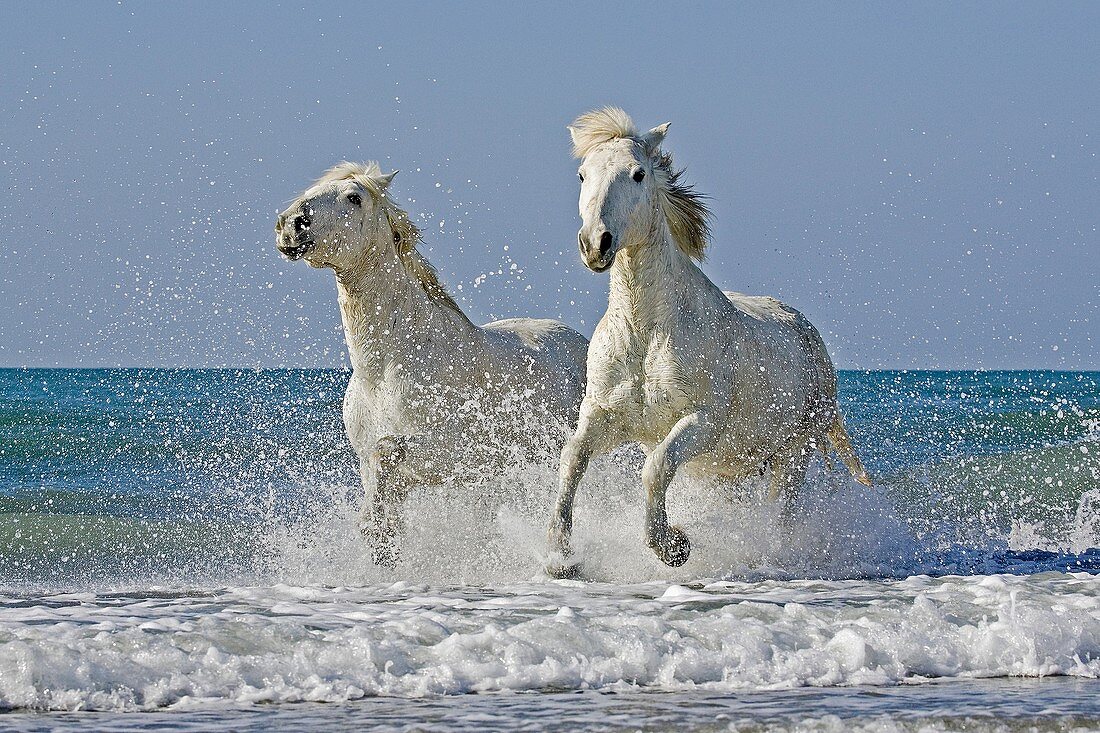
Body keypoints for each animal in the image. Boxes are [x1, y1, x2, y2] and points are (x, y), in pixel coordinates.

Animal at [279, 161, 589, 563]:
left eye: (354, 197)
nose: (290, 223)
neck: (385, 368)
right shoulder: (376, 464)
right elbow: (384, 489)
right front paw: (381, 538)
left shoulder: (457, 454)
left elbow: (387, 451)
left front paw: (373, 527)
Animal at [545, 110, 871, 576]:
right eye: (582, 174)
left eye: (638, 173)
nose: (595, 243)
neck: (646, 333)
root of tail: (807, 332)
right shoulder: (604, 417)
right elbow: (572, 459)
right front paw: (560, 557)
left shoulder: (700, 422)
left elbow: (655, 468)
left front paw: (673, 546)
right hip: (728, 470)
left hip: (792, 456)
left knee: (782, 515)